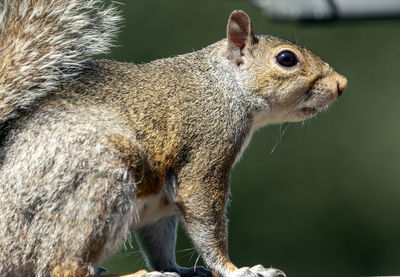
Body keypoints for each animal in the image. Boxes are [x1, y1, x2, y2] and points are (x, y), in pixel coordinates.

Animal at [0, 0, 346, 276]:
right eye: (286, 59)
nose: (341, 83)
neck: (224, 85)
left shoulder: (160, 201)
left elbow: (160, 245)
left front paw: (180, 268)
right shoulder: (207, 146)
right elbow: (203, 209)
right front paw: (236, 270)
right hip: (97, 183)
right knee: (63, 267)